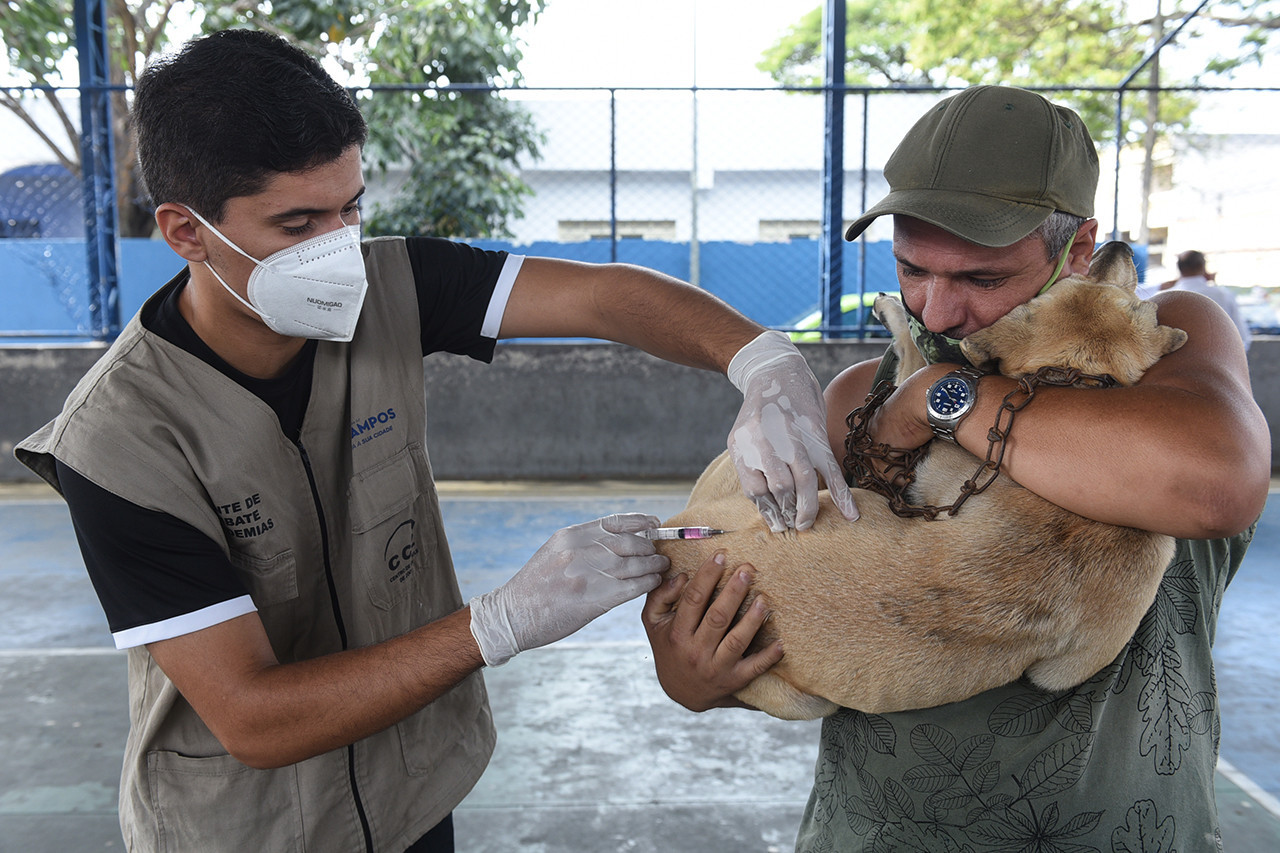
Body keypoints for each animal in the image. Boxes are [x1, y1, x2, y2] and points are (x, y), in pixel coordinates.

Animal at [655, 242, 1182, 722]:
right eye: (1084, 283)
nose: (1118, 244)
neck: (1074, 375)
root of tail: (672, 544)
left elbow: (916, 361)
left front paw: (891, 311)